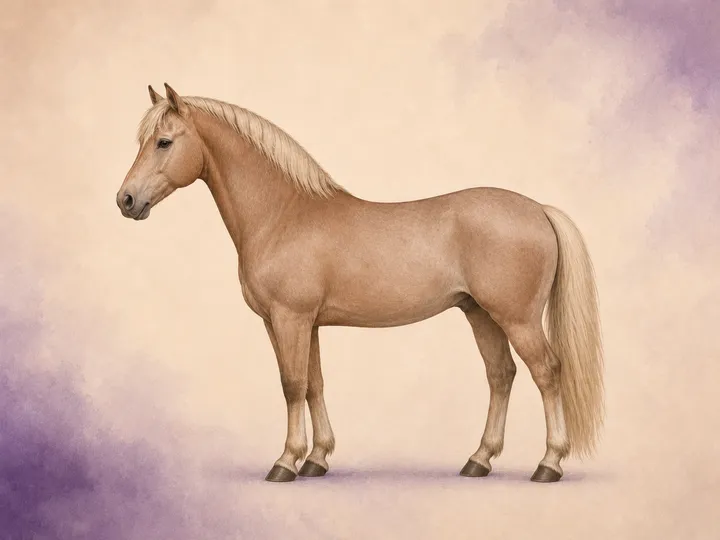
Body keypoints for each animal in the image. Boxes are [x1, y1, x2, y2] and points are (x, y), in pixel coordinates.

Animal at [116, 83, 604, 483]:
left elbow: (291, 384)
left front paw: (285, 462)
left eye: (163, 141)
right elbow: (313, 384)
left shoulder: (289, 318)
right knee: (501, 375)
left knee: (547, 372)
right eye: (143, 141)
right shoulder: (303, 323)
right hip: (480, 313)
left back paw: (548, 464)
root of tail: (538, 209)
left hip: (518, 318)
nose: (126, 200)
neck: (283, 215)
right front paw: (316, 460)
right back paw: (478, 460)